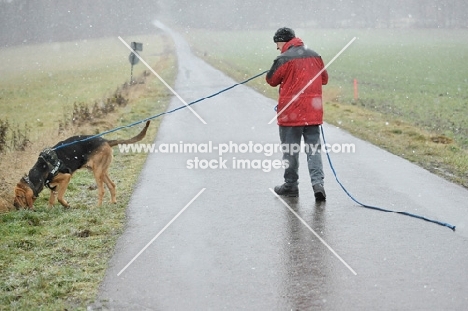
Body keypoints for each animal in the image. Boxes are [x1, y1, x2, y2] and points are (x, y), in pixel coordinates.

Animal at [13, 122, 150, 210]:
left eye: (19, 196)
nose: (15, 205)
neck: (41, 169)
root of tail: (105, 140)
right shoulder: (54, 187)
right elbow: (51, 201)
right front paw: (49, 211)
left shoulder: (66, 178)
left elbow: (60, 198)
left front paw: (66, 205)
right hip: (101, 171)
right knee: (112, 185)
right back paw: (112, 202)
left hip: (97, 172)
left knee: (102, 190)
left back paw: (98, 207)